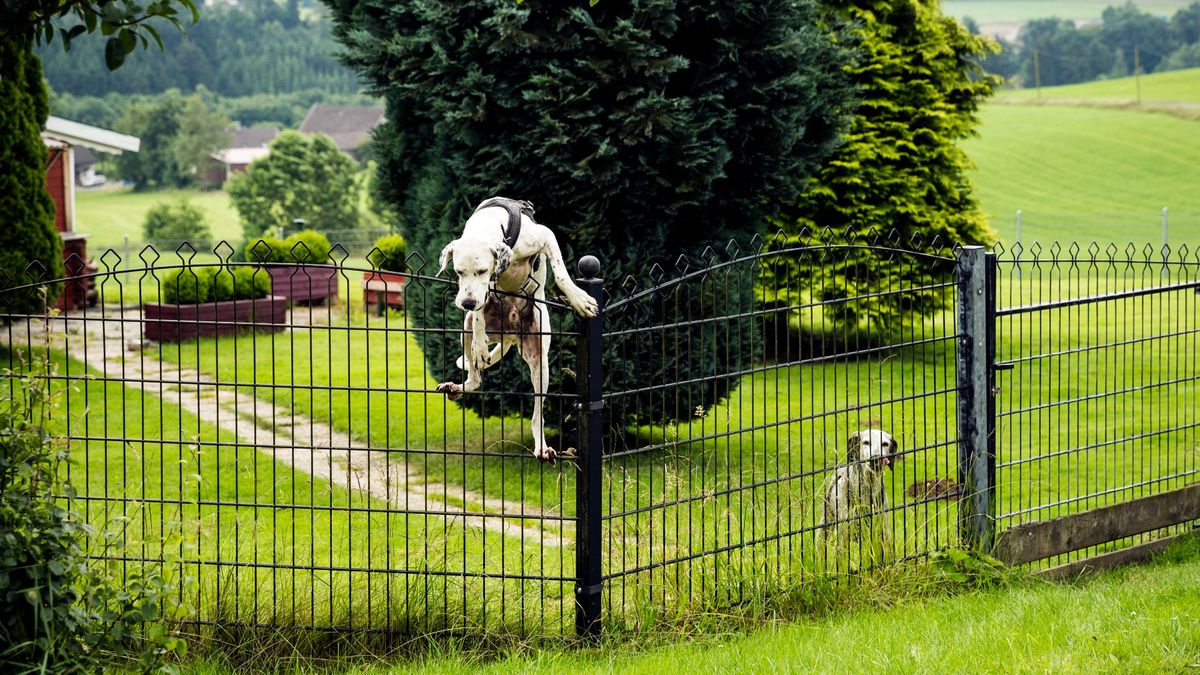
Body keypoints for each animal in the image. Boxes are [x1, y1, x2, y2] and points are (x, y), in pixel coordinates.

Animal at [434, 195, 597, 461]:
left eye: (482, 270)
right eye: (458, 271)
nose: (466, 302)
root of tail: (510, 334)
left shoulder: (545, 236)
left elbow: (561, 273)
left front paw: (579, 298)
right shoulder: (479, 299)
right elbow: (478, 315)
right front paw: (480, 344)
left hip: (540, 363)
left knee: (537, 416)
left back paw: (542, 447)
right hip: (465, 330)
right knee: (476, 377)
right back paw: (460, 382)